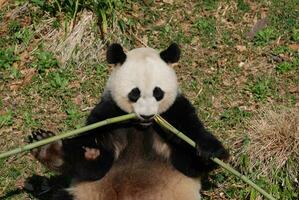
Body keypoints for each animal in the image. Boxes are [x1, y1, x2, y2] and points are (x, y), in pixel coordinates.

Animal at [28, 43, 230, 199]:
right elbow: (93, 169)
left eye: (158, 93)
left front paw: (209, 151)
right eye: (135, 93)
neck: (141, 127)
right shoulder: (107, 113)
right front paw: (90, 153)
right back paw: (46, 147)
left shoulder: (176, 113)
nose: (147, 115)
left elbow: (188, 161)